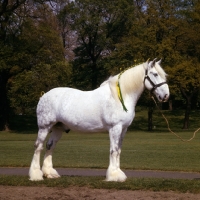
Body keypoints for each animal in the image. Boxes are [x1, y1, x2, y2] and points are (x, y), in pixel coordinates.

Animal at [29, 59, 170, 181]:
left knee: (50, 146)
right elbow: (113, 150)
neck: (119, 97)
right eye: (155, 74)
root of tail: (44, 96)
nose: (165, 96)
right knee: (38, 147)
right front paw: (114, 176)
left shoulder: (123, 129)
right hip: (44, 127)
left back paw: (49, 173)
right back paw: (36, 175)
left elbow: (118, 150)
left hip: (58, 128)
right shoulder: (115, 128)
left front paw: (118, 173)